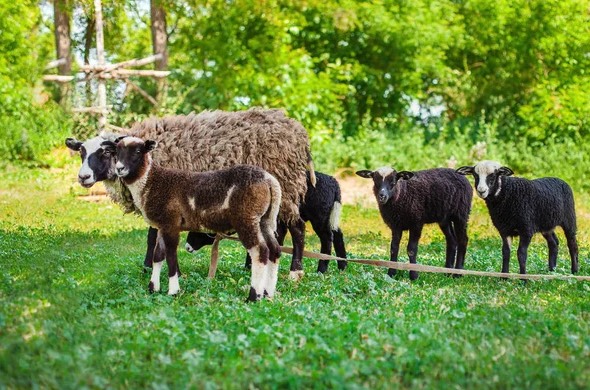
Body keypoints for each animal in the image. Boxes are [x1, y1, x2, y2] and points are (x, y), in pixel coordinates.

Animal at [65, 109, 316, 280]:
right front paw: (148, 266)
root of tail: (299, 133)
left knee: (297, 227)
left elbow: (153, 236)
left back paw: (295, 271)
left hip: (286, 186)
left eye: (106, 152)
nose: (83, 177)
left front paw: (153, 267)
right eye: (82, 152)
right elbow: (151, 236)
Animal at [103, 137, 282, 302]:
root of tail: (269, 180)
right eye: (116, 152)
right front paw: (153, 288)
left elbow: (171, 256)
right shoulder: (162, 225)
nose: (120, 168)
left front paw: (173, 291)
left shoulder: (171, 223)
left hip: (246, 218)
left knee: (260, 252)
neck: (151, 182)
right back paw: (268, 293)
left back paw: (253, 296)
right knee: (274, 250)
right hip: (265, 219)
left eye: (138, 151)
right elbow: (158, 255)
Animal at [187, 171, 350, 274]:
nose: (187, 247)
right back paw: (342, 265)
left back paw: (321, 270)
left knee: (327, 238)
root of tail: (334, 182)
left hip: (319, 216)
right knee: (338, 234)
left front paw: (250, 266)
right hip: (329, 216)